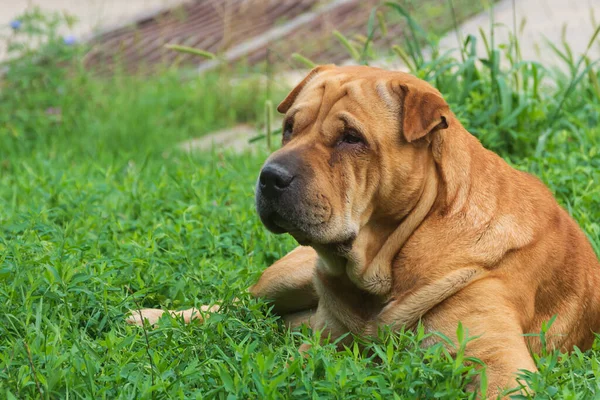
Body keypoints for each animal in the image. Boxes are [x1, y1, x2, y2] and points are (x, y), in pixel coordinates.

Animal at [127, 65, 600, 396]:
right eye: (288, 129)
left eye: (350, 138)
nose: (269, 176)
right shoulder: (322, 341)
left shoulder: (498, 361)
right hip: (288, 276)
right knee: (234, 305)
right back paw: (148, 318)